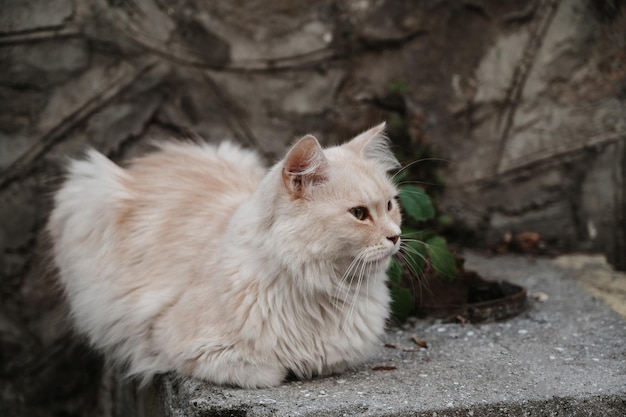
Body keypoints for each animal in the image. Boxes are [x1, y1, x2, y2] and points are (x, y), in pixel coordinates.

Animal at [47, 122, 400, 388]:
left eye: (390, 205)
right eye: (359, 213)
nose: (395, 236)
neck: (323, 290)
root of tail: (149, 158)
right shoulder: (178, 343)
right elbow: (270, 371)